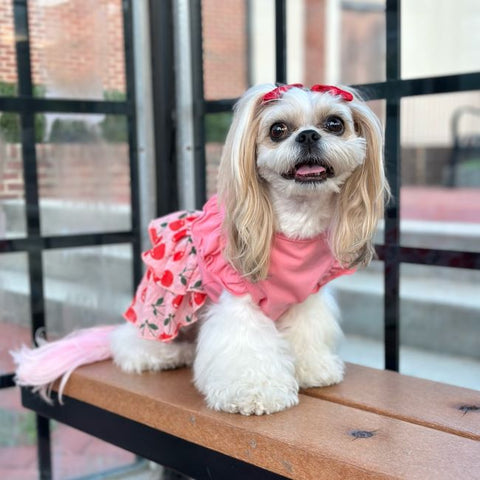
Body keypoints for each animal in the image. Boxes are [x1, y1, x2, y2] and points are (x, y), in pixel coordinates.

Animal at [13, 81, 388, 412]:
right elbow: (245, 349)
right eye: (278, 129)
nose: (308, 135)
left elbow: (306, 333)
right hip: (157, 311)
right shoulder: (237, 300)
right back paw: (160, 355)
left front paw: (313, 369)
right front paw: (255, 393)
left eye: (335, 124)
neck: (294, 224)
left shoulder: (306, 297)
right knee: (128, 340)